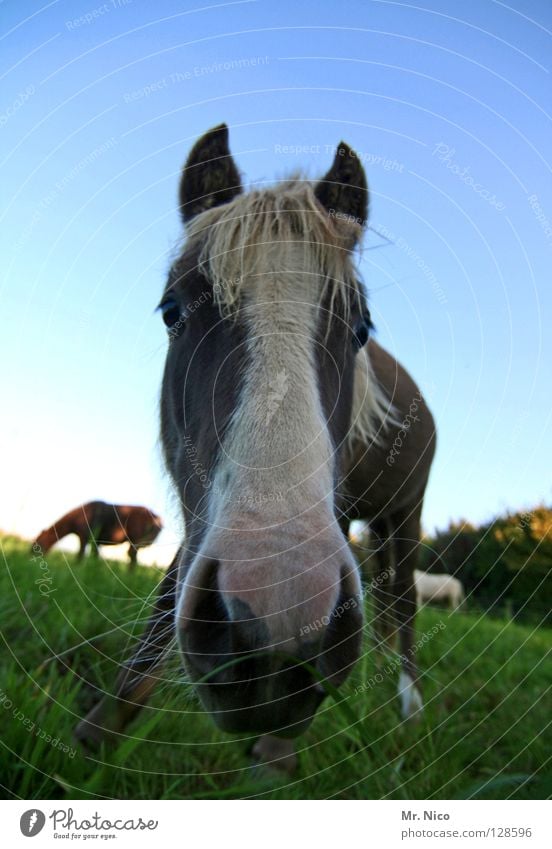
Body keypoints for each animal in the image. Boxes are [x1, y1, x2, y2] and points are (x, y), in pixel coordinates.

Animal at [32, 500, 163, 568]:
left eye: (37, 544)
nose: (30, 554)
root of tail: (158, 519)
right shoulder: (96, 542)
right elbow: (94, 556)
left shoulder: (84, 537)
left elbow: (80, 554)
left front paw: (77, 567)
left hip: (136, 541)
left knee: (132, 556)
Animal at [75, 124, 436, 768]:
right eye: (171, 309)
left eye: (361, 327)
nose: (274, 627)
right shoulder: (203, 514)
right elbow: (166, 600)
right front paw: (100, 733)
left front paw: (276, 752)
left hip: (405, 517)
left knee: (404, 601)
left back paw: (408, 706)